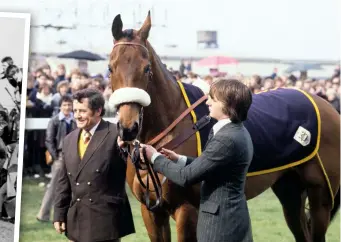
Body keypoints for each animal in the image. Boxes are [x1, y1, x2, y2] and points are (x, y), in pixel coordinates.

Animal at [107, 12, 338, 242]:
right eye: (110, 68)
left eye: (146, 68)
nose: (128, 128)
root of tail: (326, 105)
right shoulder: (151, 211)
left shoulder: (186, 210)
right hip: (290, 192)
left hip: (321, 197)